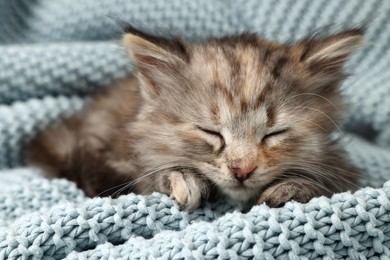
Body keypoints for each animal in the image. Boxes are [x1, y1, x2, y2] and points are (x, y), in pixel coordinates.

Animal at [27, 25, 362, 210]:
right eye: (211, 132)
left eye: (273, 133)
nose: (242, 170)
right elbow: (152, 172)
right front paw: (183, 178)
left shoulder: (341, 167)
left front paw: (291, 187)